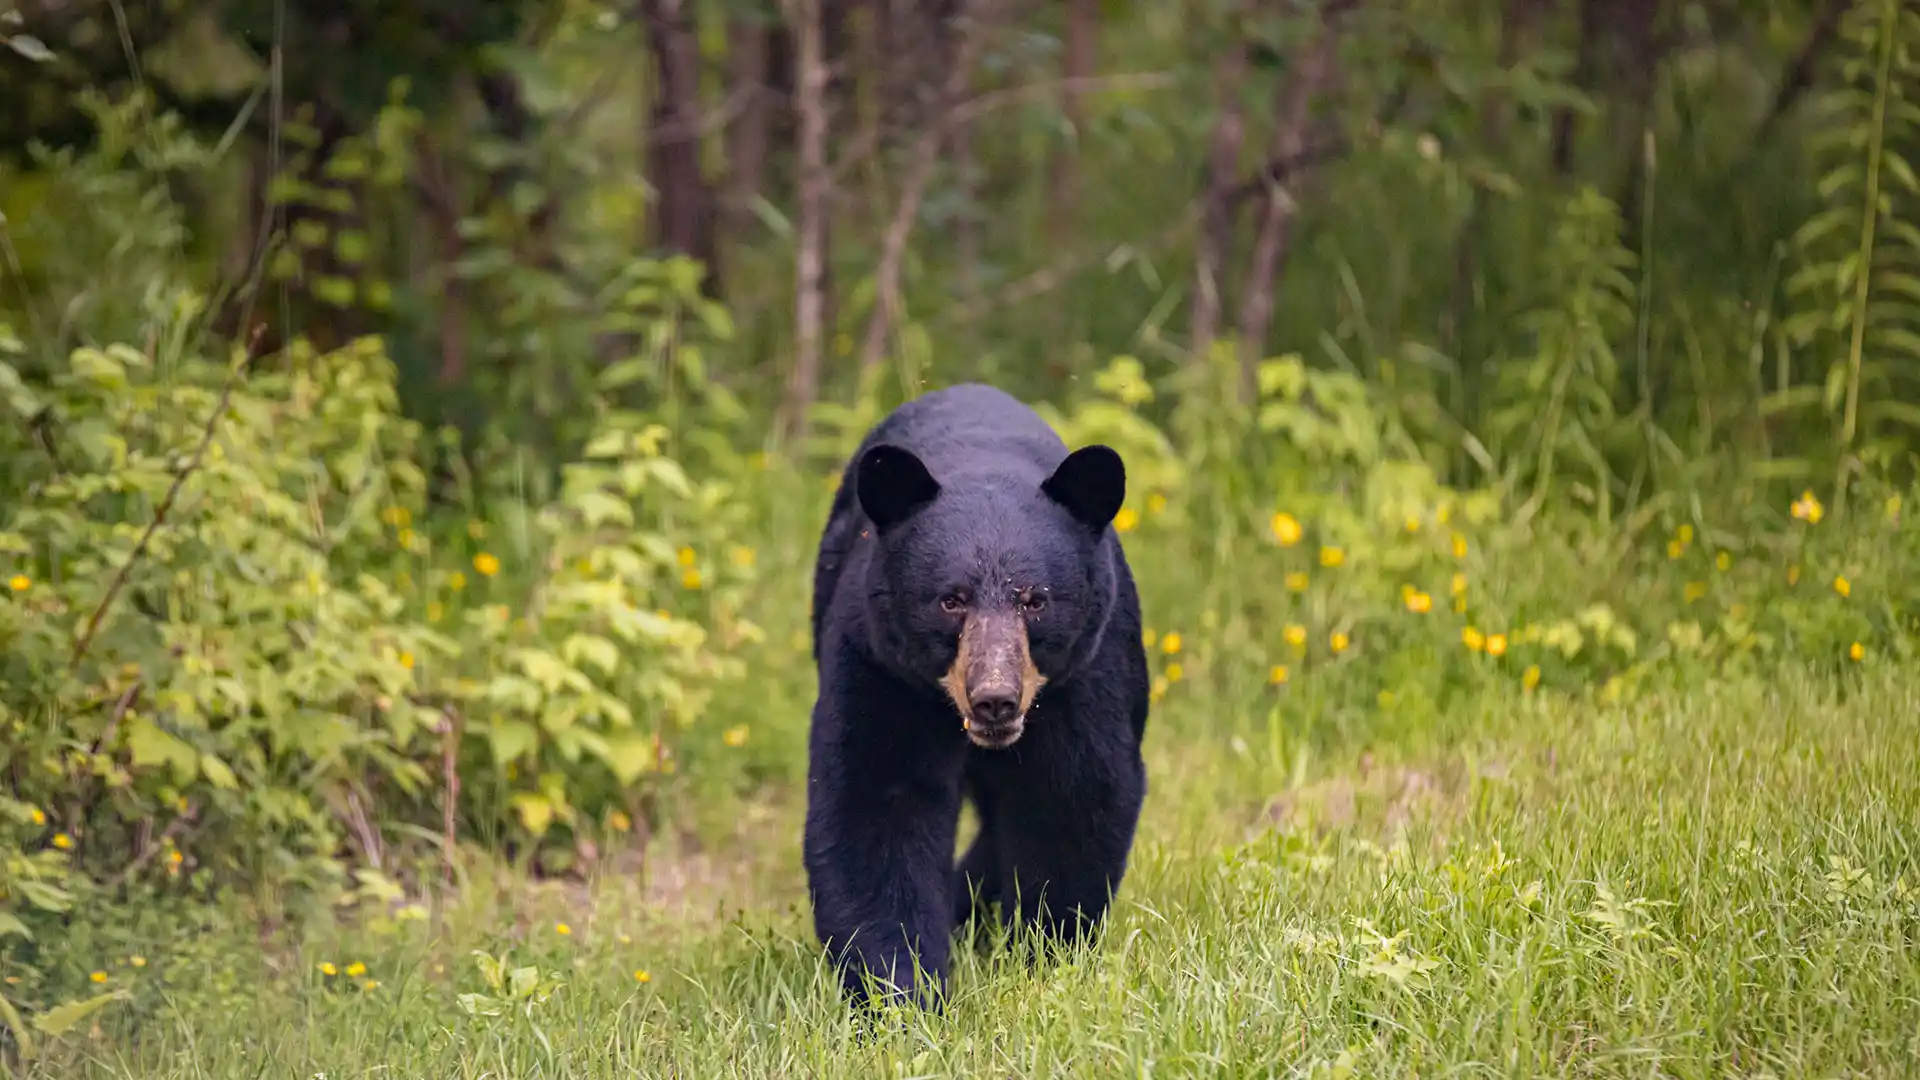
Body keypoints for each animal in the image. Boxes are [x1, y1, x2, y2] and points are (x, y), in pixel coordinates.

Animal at [802, 382, 1151, 1010]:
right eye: (951, 600)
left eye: (1035, 599)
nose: (995, 699)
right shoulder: (880, 664)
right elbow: (876, 805)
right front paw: (899, 996)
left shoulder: (1086, 672)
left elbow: (1073, 793)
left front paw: (1041, 958)